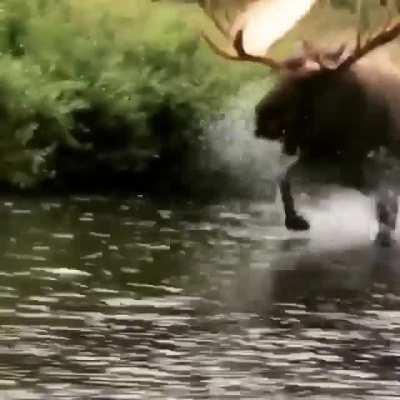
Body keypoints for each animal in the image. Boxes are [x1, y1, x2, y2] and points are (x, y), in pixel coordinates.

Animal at [202, 2, 400, 247]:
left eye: (306, 81)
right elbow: (283, 177)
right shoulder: (326, 161)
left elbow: (386, 207)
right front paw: (296, 221)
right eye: (277, 76)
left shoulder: (370, 167)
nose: (261, 115)